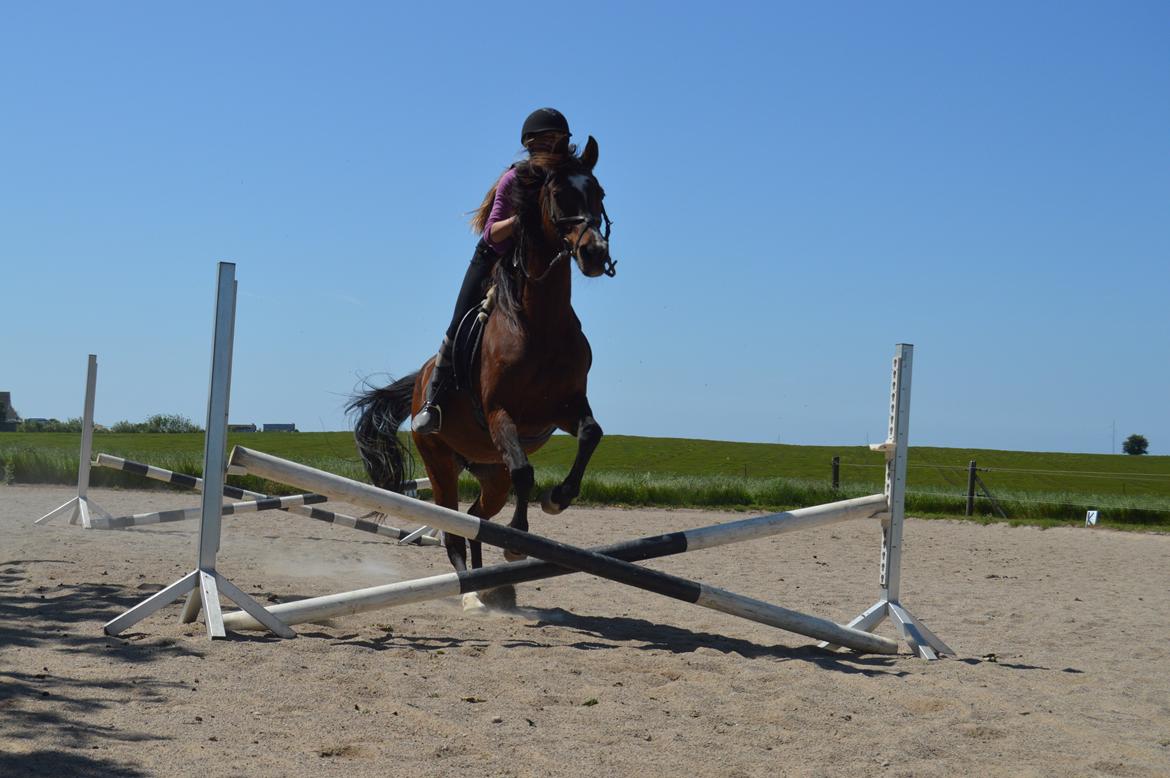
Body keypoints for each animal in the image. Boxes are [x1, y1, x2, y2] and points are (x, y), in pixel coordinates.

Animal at [351, 136, 617, 608]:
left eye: (598, 193)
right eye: (558, 195)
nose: (594, 253)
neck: (542, 323)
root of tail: (418, 386)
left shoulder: (563, 408)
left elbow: (591, 433)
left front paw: (559, 498)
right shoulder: (499, 414)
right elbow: (526, 473)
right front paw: (517, 542)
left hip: (490, 472)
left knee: (477, 518)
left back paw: (492, 587)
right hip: (439, 462)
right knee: (455, 526)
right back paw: (472, 593)